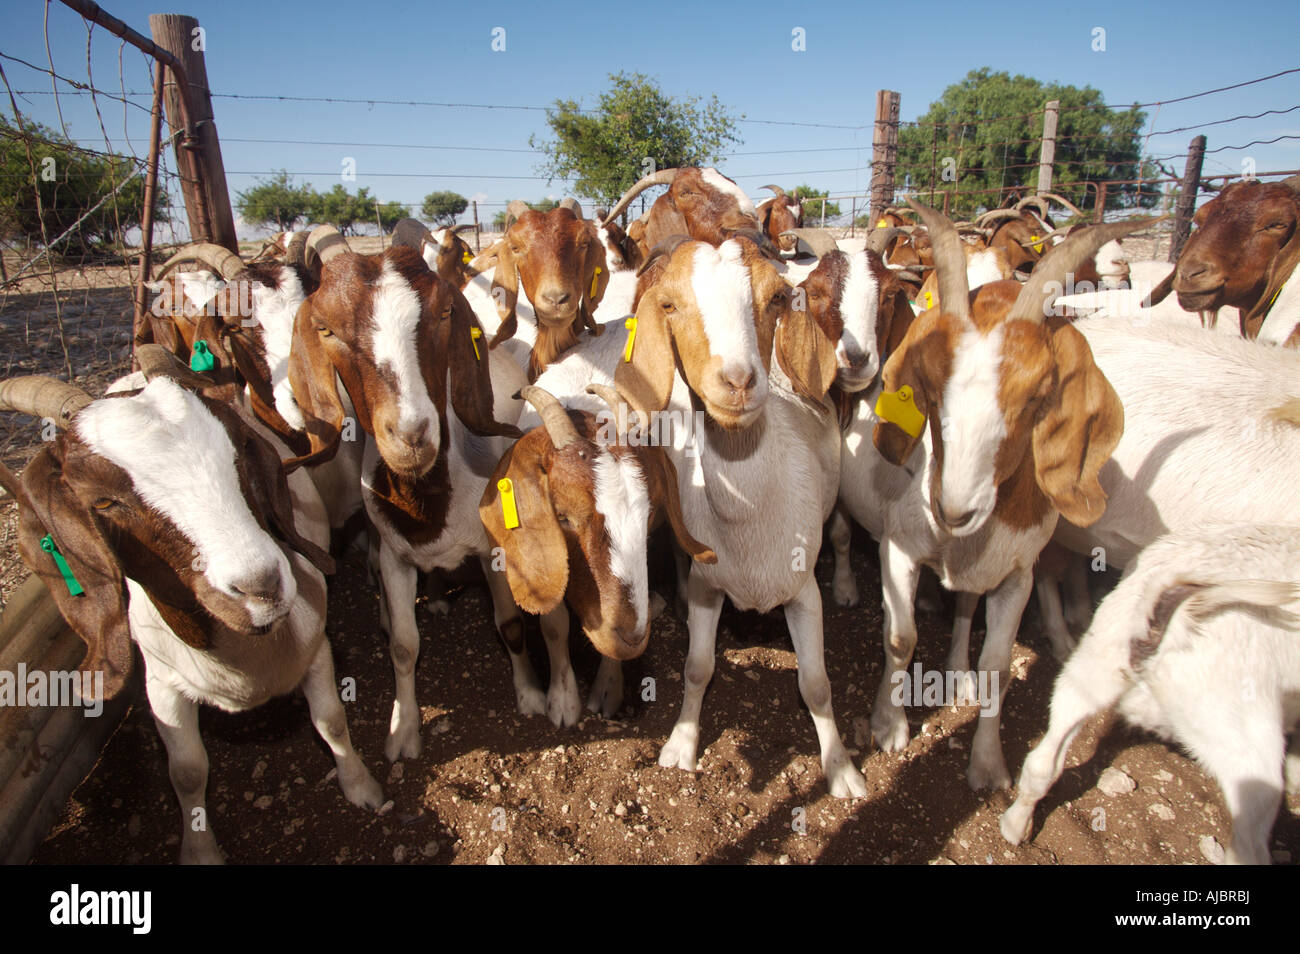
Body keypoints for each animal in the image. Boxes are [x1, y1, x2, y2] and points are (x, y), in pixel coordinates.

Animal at [0, 374, 382, 868]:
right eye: (103, 502)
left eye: (238, 453)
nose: (261, 587)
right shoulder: (162, 684)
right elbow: (186, 772)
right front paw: (199, 850)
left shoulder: (317, 647)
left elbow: (331, 721)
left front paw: (362, 787)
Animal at [288, 246, 522, 764]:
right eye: (326, 329)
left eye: (445, 312)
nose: (412, 434)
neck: (428, 503)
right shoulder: (396, 557)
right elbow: (402, 646)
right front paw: (403, 732)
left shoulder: (492, 549)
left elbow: (509, 622)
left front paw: (532, 696)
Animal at [478, 384, 717, 722]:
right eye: (561, 516)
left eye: (648, 514)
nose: (632, 636)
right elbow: (551, 626)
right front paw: (561, 701)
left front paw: (607, 688)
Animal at [832, 201, 1149, 790]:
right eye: (929, 389)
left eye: (1037, 395)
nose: (954, 507)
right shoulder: (899, 550)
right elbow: (900, 638)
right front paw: (889, 725)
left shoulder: (1017, 572)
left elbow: (998, 665)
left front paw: (987, 763)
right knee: (842, 534)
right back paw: (844, 585)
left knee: (965, 603)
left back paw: (956, 668)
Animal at [1003, 522, 1300, 868]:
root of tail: (1180, 613)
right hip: (1239, 733)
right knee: (1248, 846)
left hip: (1093, 667)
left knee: (1042, 761)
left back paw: (1015, 826)